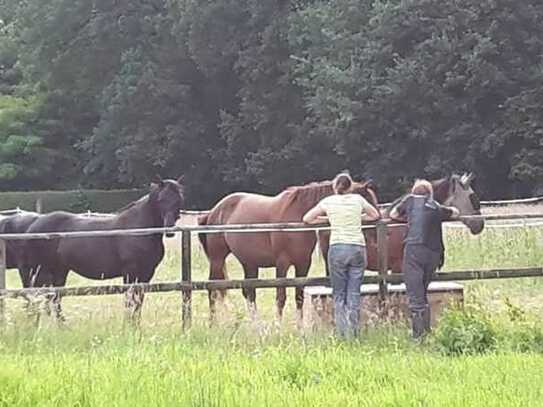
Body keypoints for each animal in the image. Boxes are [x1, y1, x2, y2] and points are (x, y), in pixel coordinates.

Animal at [24, 177, 185, 324]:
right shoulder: (130, 272)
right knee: (40, 297)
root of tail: (33, 226)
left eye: (179, 199)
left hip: (60, 271)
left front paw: (136, 325)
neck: (138, 229)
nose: (169, 230)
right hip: (43, 271)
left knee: (54, 298)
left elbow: (139, 301)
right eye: (161, 199)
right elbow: (129, 300)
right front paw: (128, 325)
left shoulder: (147, 273)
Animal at [198, 180, 380, 326]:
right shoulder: (282, 264)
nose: (377, 226)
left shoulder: (303, 264)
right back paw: (213, 324)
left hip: (249, 263)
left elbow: (299, 297)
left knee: (249, 293)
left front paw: (300, 328)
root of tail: (213, 212)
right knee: (212, 289)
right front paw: (278, 327)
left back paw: (255, 326)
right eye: (368, 201)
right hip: (217, 259)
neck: (297, 217)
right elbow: (281, 297)